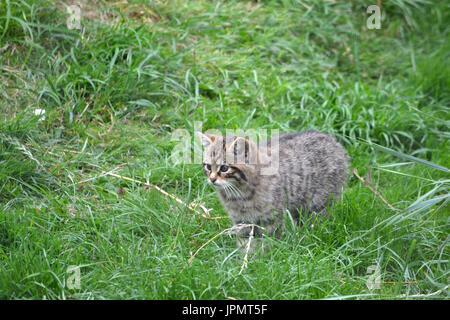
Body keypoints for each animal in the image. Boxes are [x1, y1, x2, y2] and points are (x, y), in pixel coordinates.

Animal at [199, 130, 350, 250]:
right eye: (208, 167)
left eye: (224, 168)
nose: (212, 179)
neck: (239, 193)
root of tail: (332, 140)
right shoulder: (241, 220)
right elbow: (245, 242)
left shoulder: (271, 218)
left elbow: (267, 241)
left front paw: (263, 259)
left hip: (319, 204)